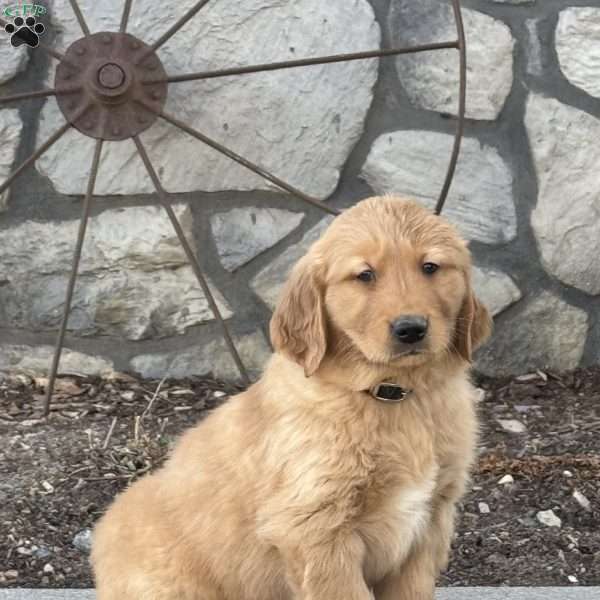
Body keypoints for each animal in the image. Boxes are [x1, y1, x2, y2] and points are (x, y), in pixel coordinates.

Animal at [90, 195, 492, 596]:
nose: (411, 328)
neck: (393, 396)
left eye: (430, 267)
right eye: (364, 275)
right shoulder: (316, 528)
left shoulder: (432, 518)